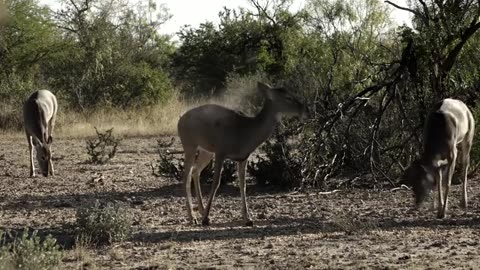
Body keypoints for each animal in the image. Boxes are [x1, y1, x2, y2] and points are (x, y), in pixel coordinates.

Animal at [177, 82, 308, 226]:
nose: (305, 110)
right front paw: (206, 218)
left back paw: (200, 211)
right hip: (189, 144)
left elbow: (243, 185)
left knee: (196, 171)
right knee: (186, 176)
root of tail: (180, 119)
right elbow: (216, 183)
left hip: (206, 150)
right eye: (288, 97)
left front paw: (248, 219)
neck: (246, 133)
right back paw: (193, 216)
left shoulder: (243, 157)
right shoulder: (221, 151)